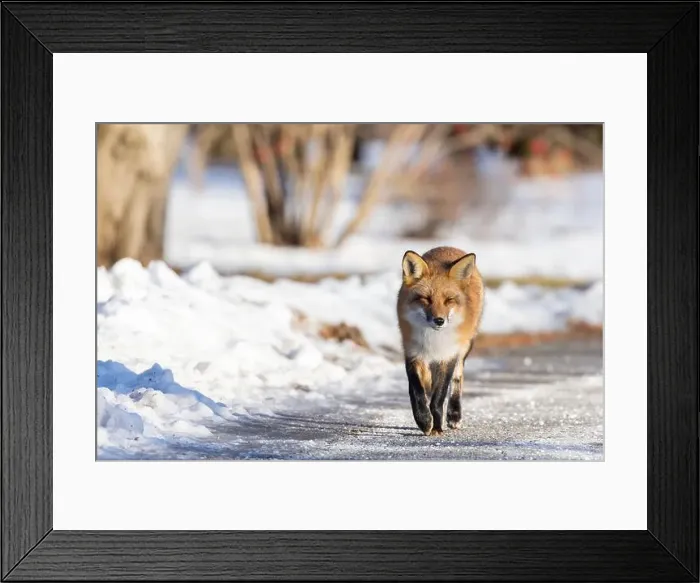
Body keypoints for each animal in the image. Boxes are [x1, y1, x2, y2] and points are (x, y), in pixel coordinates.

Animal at [396, 246, 484, 436]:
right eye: (426, 298)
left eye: (449, 300)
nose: (439, 321)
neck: (432, 339)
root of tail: (449, 248)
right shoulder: (412, 352)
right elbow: (416, 391)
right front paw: (423, 420)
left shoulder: (448, 355)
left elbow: (438, 397)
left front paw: (437, 425)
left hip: (464, 346)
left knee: (457, 379)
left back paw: (454, 415)